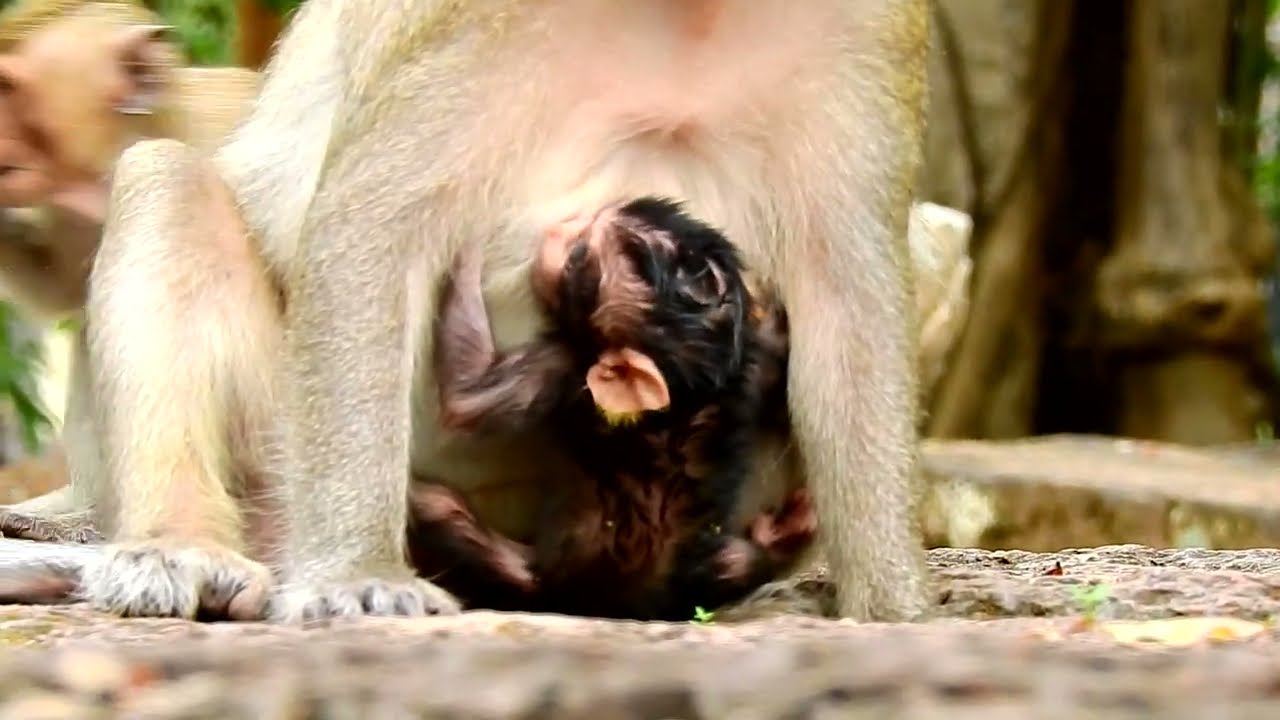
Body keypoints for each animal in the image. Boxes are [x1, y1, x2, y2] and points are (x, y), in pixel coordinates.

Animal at [405, 196, 814, 620]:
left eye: (578, 259)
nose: (565, 226)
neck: (692, 387)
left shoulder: (565, 362)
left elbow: (467, 399)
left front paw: (463, 251)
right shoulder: (749, 363)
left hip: (537, 579)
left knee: (440, 510)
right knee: (737, 563)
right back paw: (779, 535)